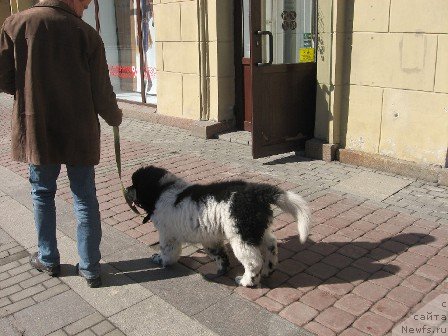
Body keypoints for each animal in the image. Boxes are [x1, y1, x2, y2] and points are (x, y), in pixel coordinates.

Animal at [124, 165, 310, 286]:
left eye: (135, 184)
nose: (126, 189)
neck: (163, 189)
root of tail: (256, 193)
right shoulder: (209, 237)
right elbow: (218, 253)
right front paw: (222, 269)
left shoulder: (168, 234)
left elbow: (168, 251)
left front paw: (161, 260)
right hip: (254, 228)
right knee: (271, 244)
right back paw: (268, 270)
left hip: (240, 234)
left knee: (253, 261)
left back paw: (246, 281)